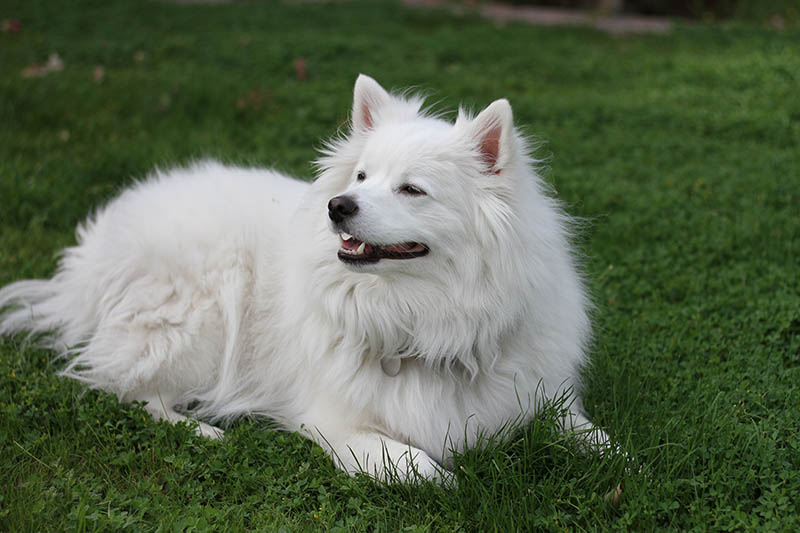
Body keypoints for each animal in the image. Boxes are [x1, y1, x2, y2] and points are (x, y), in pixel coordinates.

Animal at [1, 74, 608, 482]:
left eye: (412, 189)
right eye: (361, 177)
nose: (338, 206)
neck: (424, 317)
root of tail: (93, 253)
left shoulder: (538, 395)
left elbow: (595, 436)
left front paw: (618, 458)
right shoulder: (332, 421)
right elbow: (414, 463)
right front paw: (448, 477)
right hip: (202, 322)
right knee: (126, 389)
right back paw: (202, 428)